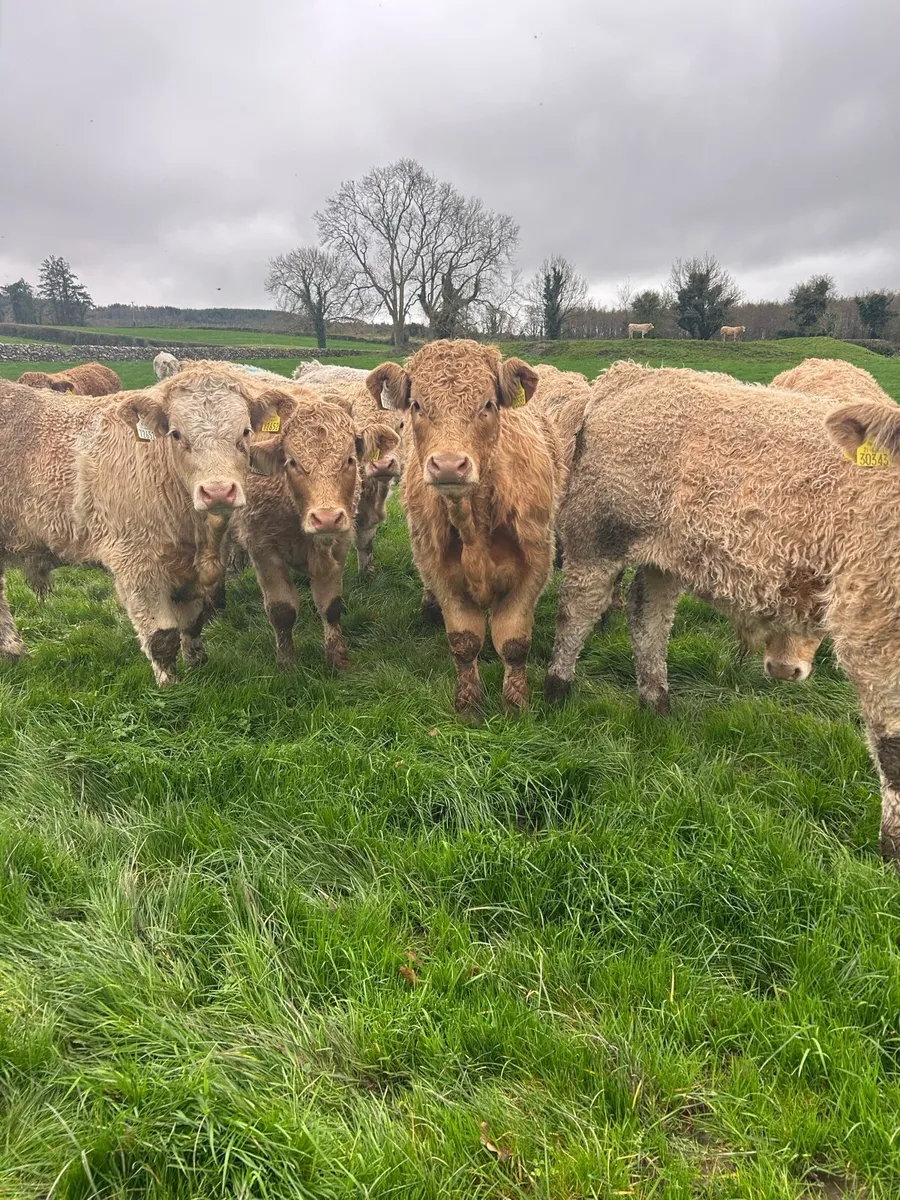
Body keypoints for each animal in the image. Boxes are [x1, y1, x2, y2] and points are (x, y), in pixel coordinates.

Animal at [0, 368, 288, 684]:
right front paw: (170, 685)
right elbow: (162, 637)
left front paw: (197, 663)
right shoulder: (136, 564)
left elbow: (193, 621)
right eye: (176, 434)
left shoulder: (189, 569)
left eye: (245, 432)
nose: (218, 491)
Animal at [368, 339, 564, 713]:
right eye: (417, 404)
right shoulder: (442, 573)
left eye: (487, 404)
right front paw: (469, 705)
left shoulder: (533, 569)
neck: (475, 525)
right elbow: (464, 640)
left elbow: (514, 643)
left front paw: (517, 704)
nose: (448, 465)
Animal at [543, 361, 900, 860]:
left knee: (648, 617)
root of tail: (631, 375)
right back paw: (557, 688)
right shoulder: (874, 628)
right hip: (599, 535)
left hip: (663, 557)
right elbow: (892, 747)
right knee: (578, 609)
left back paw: (656, 703)